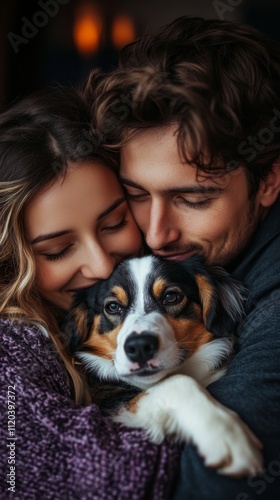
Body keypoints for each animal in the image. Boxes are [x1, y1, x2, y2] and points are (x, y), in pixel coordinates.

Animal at [66, 256, 264, 478]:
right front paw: (224, 432)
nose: (139, 347)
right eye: (113, 306)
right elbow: (178, 382)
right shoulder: (114, 404)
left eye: (171, 297)